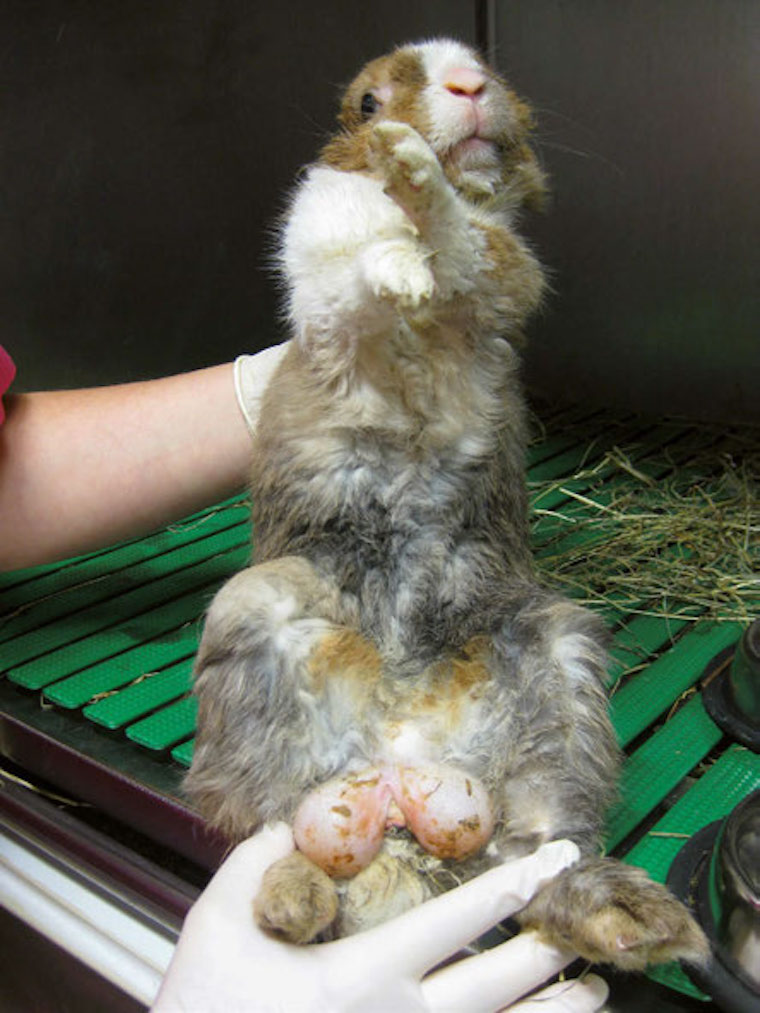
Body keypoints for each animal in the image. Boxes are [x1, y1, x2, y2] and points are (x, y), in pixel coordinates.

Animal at [184, 38, 708, 970]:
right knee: (276, 820)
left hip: (557, 661)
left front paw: (418, 201)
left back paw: (631, 921)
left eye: (486, 72)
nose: (468, 87)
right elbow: (362, 287)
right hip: (252, 616)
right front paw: (401, 220)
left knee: (539, 854)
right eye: (366, 101)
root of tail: (401, 753)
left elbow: (465, 250)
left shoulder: (502, 273)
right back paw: (290, 904)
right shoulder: (326, 287)